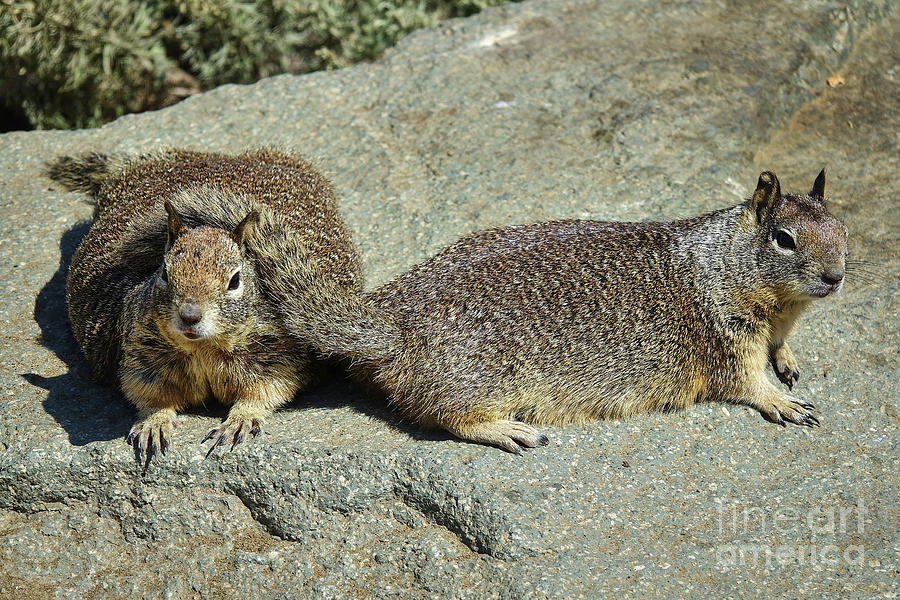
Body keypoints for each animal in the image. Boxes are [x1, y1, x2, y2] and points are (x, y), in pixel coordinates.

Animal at [49, 148, 362, 466]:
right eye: (164, 272)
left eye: (235, 280)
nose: (189, 316)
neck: (205, 347)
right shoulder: (140, 353)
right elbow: (149, 394)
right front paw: (154, 423)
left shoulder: (278, 354)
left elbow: (268, 390)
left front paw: (240, 420)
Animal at [255, 171, 852, 452]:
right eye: (783, 239)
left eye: (842, 228)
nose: (836, 276)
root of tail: (387, 320)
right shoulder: (726, 332)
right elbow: (747, 380)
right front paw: (785, 402)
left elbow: (779, 350)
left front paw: (789, 361)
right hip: (479, 381)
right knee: (447, 417)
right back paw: (510, 431)